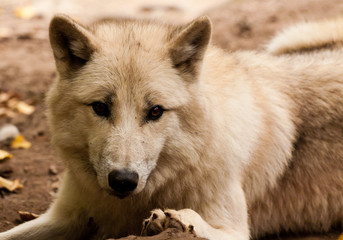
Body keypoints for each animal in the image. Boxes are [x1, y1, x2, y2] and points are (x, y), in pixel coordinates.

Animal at [0, 15, 343, 240]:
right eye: (100, 107)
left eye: (155, 111)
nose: (123, 180)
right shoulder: (66, 217)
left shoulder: (236, 230)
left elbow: (196, 221)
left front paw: (177, 220)